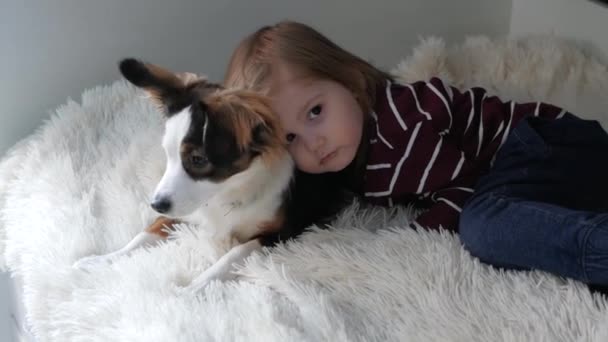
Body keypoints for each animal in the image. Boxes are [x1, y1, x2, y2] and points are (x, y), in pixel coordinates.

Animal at [75, 58, 352, 292]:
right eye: (168, 153)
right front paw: (101, 260)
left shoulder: (283, 232)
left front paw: (193, 288)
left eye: (198, 160)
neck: (228, 192)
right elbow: (144, 234)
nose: (156, 204)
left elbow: (233, 255)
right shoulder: (183, 212)